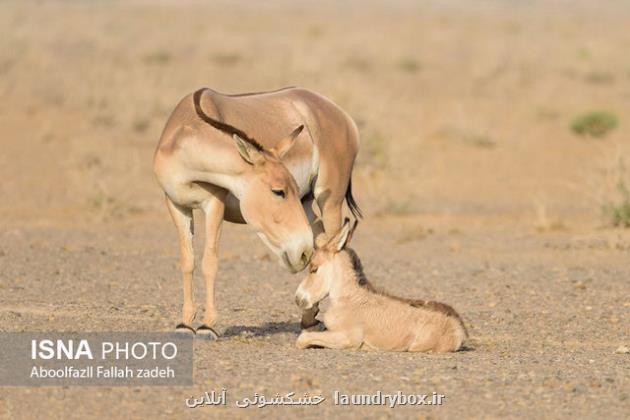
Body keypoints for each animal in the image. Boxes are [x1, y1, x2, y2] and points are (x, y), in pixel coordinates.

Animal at [294, 220, 466, 354]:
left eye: (314, 269)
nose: (298, 298)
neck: (349, 298)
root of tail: (460, 328)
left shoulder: (348, 337)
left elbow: (303, 338)